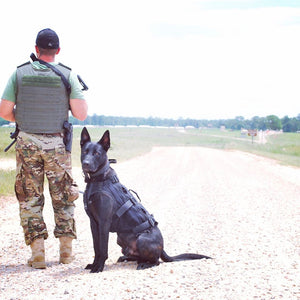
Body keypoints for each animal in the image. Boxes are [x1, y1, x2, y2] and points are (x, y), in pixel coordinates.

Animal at [80, 127, 211, 274]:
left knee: (156, 261)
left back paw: (144, 264)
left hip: (142, 239)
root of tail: (163, 249)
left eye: (97, 153)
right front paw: (94, 264)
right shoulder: (93, 223)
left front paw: (99, 267)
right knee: (138, 257)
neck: (97, 180)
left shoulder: (104, 223)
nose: (86, 164)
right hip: (121, 237)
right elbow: (96, 248)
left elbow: (102, 249)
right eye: (84, 151)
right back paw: (126, 258)